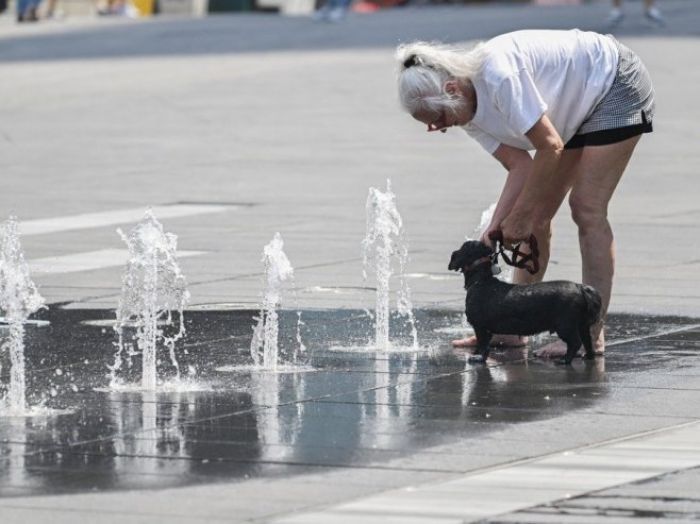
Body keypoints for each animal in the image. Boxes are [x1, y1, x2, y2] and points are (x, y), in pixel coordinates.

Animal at [448, 241, 600, 364]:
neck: (481, 280)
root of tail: (580, 287)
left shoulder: (480, 327)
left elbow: (482, 345)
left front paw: (478, 358)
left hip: (565, 325)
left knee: (575, 342)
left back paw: (565, 360)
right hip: (582, 325)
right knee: (587, 342)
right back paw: (588, 356)